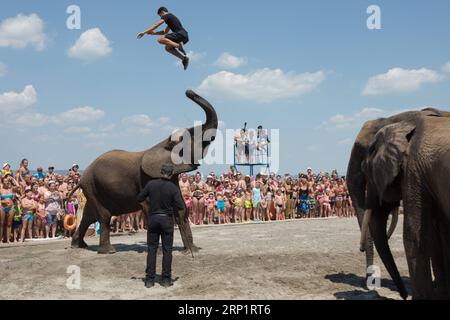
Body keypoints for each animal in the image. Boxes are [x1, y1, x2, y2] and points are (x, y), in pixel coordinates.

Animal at [70, 90, 218, 255]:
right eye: (185, 139)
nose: (188, 91)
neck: (161, 145)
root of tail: (82, 178)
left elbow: (180, 208)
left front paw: (192, 251)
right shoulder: (146, 178)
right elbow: (149, 206)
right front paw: (159, 253)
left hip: (92, 188)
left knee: (89, 215)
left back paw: (79, 245)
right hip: (92, 186)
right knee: (103, 215)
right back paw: (108, 251)